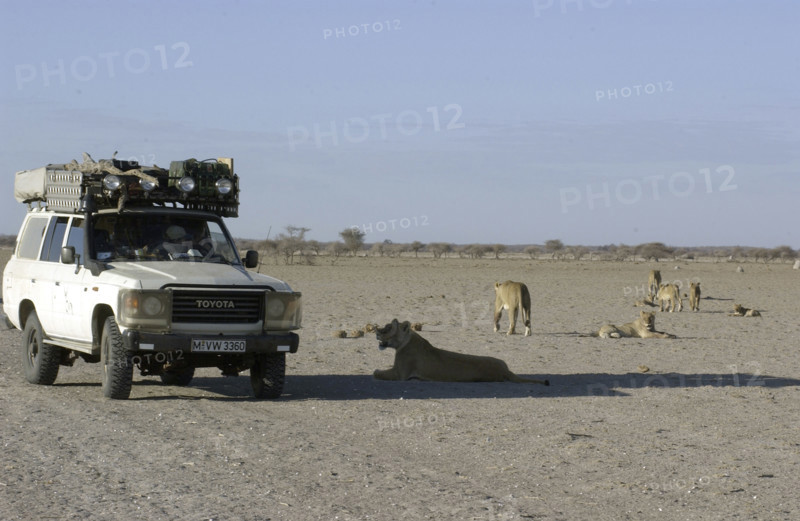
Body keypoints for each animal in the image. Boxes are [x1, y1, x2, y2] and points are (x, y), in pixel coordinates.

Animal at [373, 319, 549, 385]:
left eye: (388, 328)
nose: (376, 332)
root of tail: (506, 371)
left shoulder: (400, 374)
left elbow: (377, 373)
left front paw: (376, 371)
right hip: (501, 360)